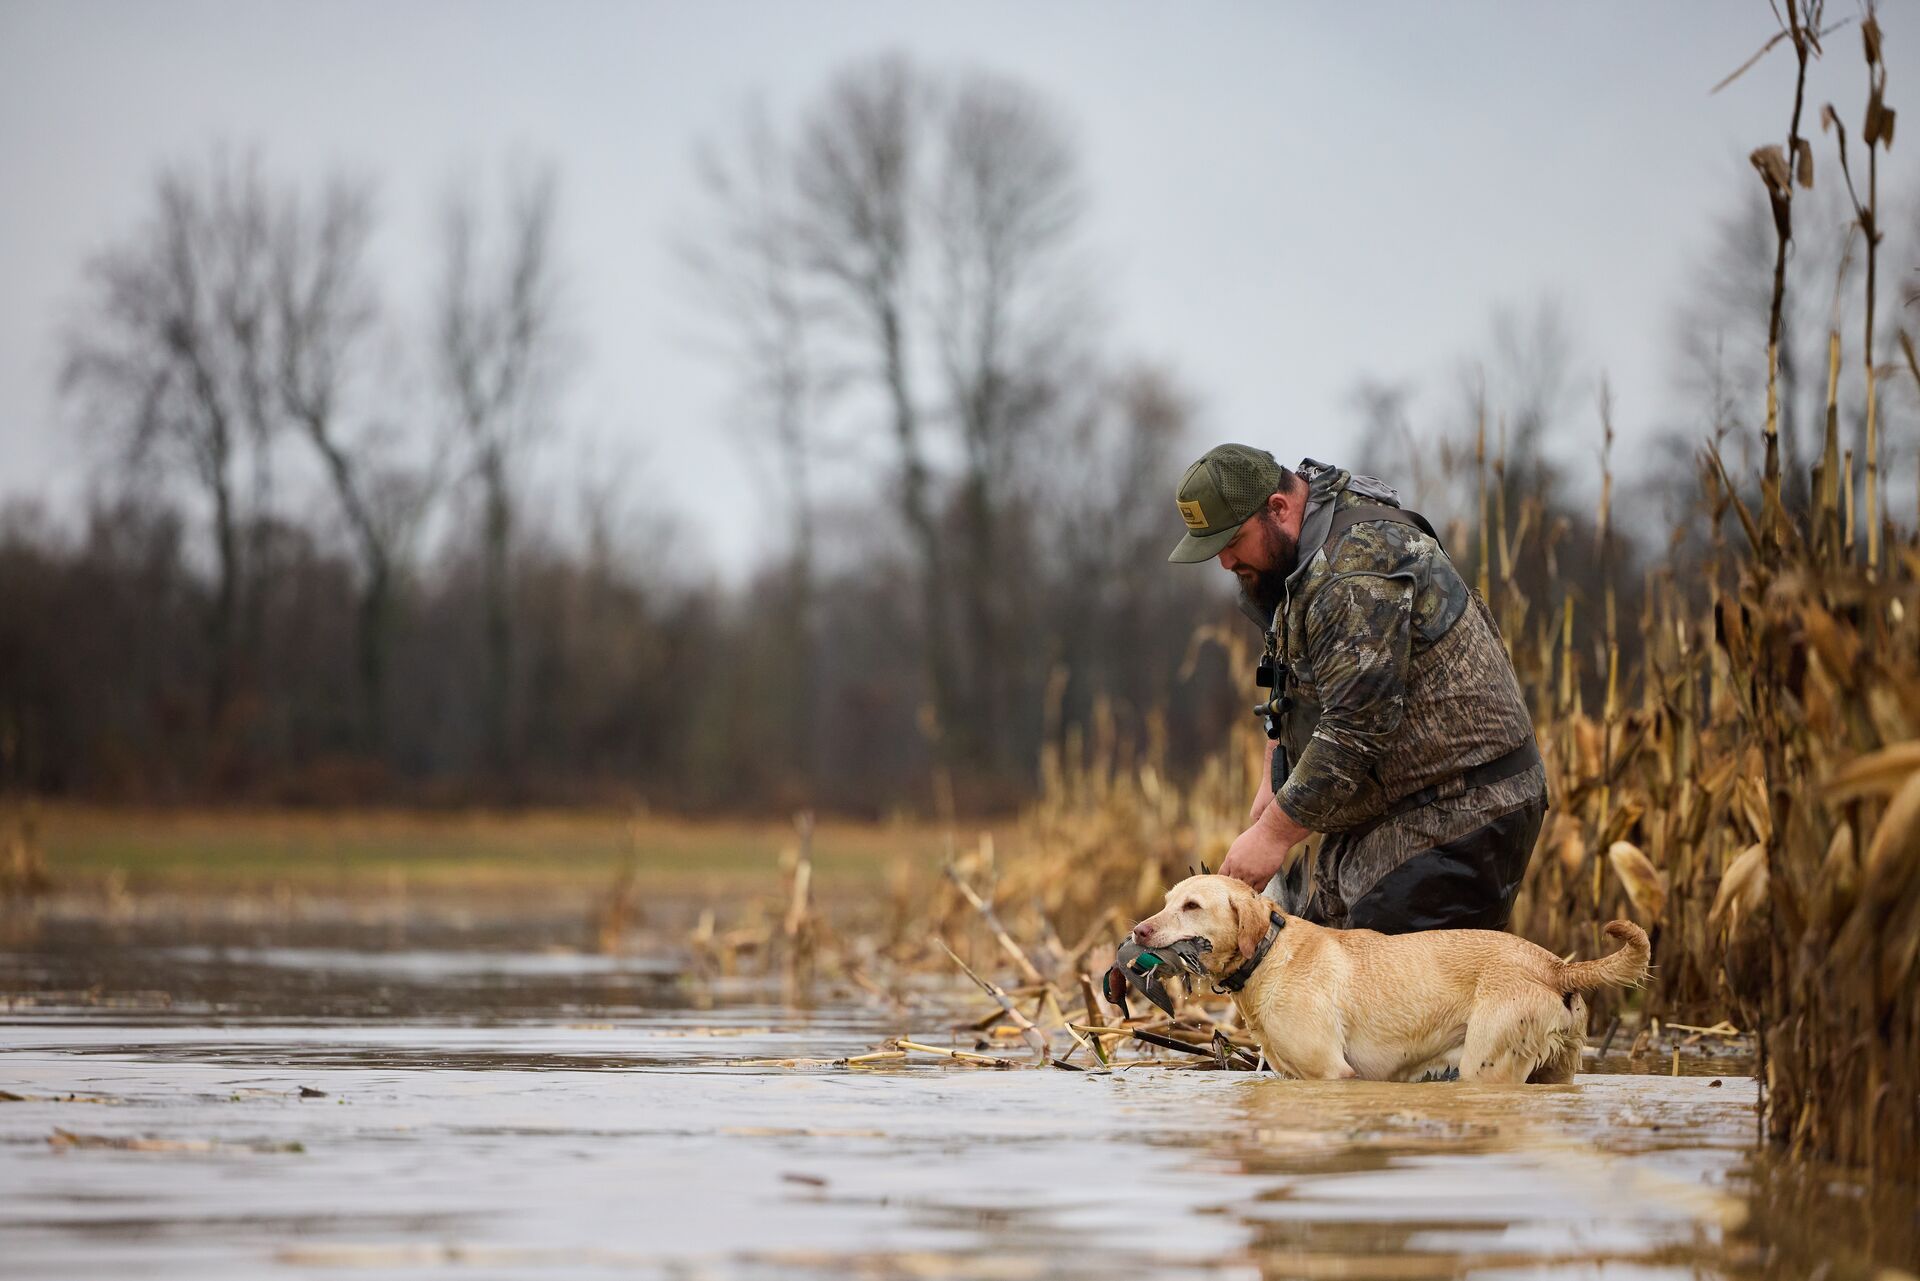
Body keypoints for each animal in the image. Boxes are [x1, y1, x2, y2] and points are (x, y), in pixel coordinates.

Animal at [1121, 871, 1651, 1083]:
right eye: (1168, 901)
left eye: (1193, 906)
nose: (1138, 930)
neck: (1271, 956)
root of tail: (1555, 965)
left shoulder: (1331, 1073)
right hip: (1556, 1070)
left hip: (1487, 1066)